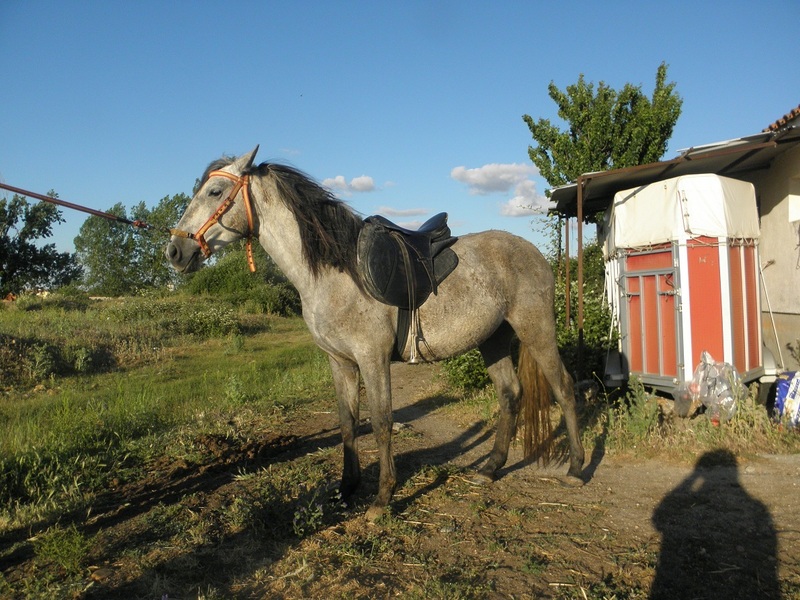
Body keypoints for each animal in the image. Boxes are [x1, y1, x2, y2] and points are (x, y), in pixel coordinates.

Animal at [165, 146, 584, 519]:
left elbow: (382, 423)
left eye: (215, 192)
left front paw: (382, 498)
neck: (333, 273)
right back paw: (489, 468)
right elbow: (348, 424)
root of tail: (534, 252)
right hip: (492, 340)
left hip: (536, 330)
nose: (175, 251)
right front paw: (345, 489)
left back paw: (576, 469)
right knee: (510, 394)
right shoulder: (340, 362)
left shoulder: (373, 359)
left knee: (563, 388)